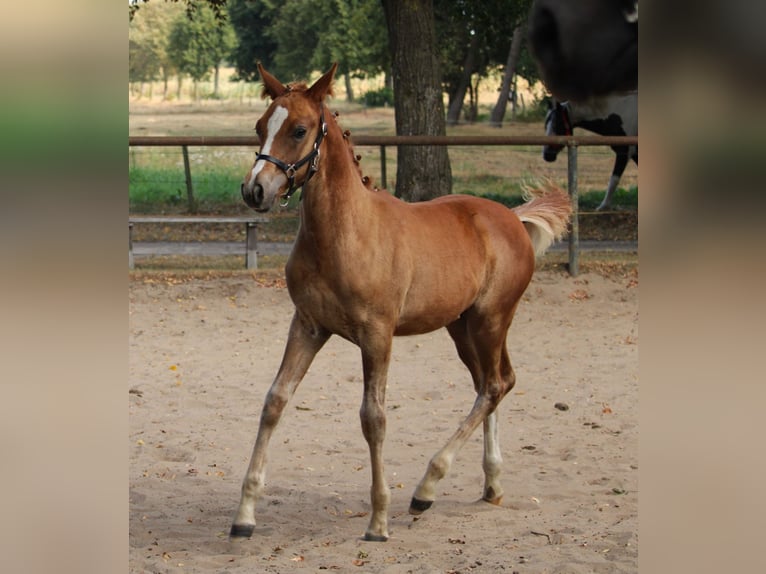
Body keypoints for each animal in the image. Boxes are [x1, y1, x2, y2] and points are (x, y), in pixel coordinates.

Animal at [233, 62, 572, 542]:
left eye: (299, 129)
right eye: (260, 126)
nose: (255, 190)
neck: (344, 234)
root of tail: (513, 218)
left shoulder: (377, 335)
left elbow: (373, 418)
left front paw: (378, 521)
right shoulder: (308, 325)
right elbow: (274, 402)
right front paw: (244, 515)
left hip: (491, 318)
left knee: (494, 385)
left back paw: (427, 487)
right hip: (462, 326)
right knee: (492, 383)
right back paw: (491, 483)